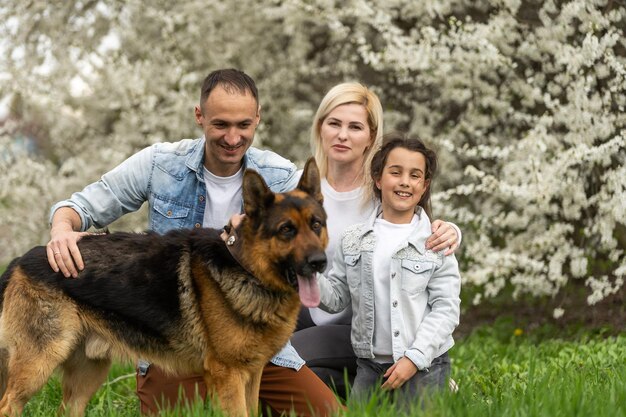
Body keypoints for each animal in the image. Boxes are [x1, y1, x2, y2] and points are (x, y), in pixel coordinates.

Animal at [0, 158, 330, 414]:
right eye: (286, 230)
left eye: (316, 225)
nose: (320, 262)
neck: (245, 267)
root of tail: (21, 258)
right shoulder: (230, 376)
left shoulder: (252, 374)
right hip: (38, 365)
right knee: (8, 406)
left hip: (86, 375)